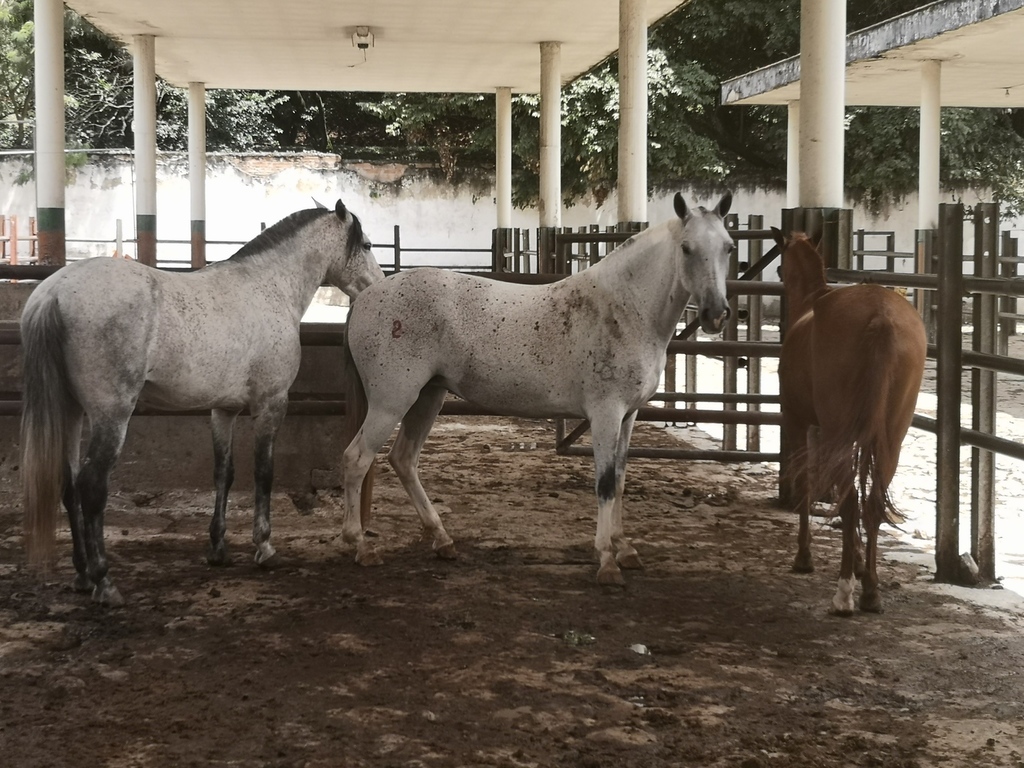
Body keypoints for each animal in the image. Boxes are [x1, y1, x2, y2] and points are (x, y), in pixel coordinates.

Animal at [21, 199, 384, 606]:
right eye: (367, 245)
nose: (378, 284)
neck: (268, 287)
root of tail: (54, 292)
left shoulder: (223, 410)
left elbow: (223, 473)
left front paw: (217, 548)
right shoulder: (271, 403)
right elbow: (264, 472)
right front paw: (264, 548)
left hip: (72, 412)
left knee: (68, 484)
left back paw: (83, 575)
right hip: (111, 415)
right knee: (91, 486)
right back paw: (104, 582)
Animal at [339, 191, 735, 585]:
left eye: (729, 247)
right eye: (686, 248)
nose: (716, 314)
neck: (625, 309)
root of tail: (365, 299)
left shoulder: (628, 416)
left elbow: (621, 480)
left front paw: (625, 549)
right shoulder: (606, 414)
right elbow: (606, 483)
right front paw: (607, 561)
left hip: (428, 398)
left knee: (404, 459)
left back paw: (442, 539)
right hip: (391, 402)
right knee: (357, 459)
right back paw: (361, 546)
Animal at [774, 229, 926, 615]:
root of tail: (881, 317)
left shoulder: (799, 423)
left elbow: (807, 485)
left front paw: (804, 556)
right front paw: (858, 560)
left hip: (836, 430)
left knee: (853, 499)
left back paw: (844, 593)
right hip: (891, 437)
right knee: (871, 501)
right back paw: (870, 589)